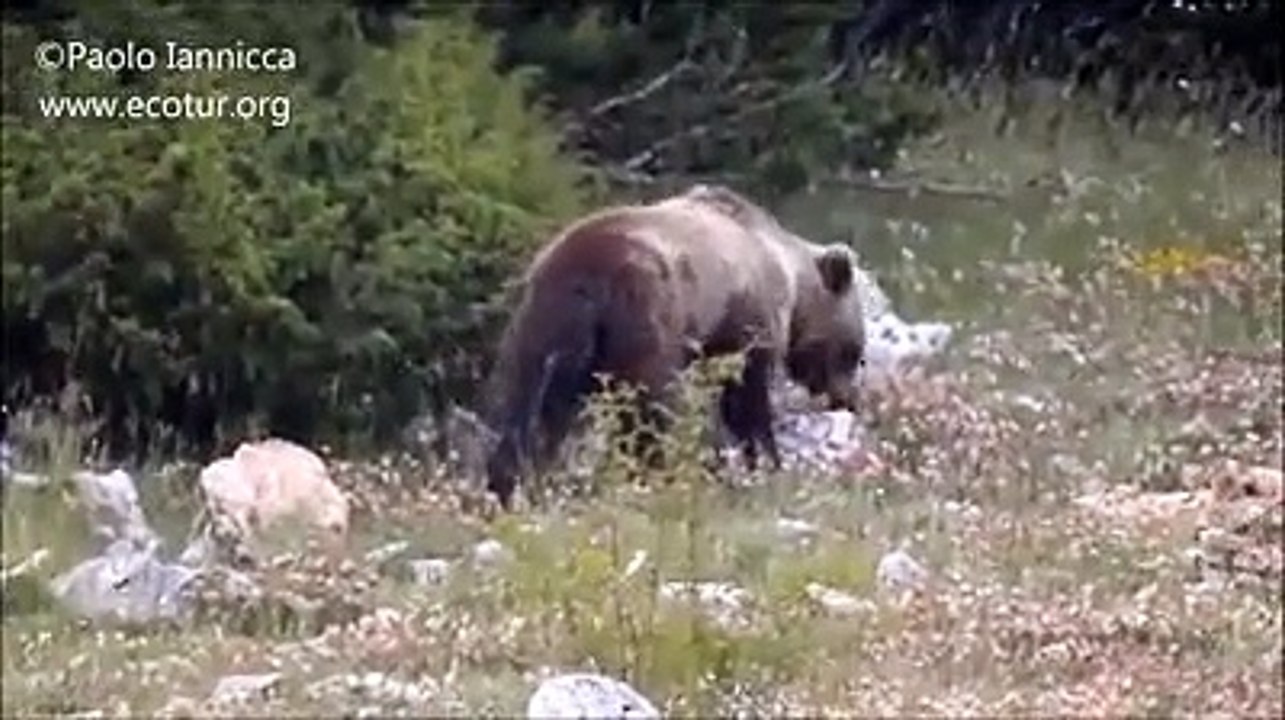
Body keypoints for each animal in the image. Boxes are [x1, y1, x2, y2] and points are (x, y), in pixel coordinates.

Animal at [482, 183, 866, 508]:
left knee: (526, 407)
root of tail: (585, 279)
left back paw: (511, 487)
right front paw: (766, 461)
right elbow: (746, 396)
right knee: (650, 404)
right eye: (855, 351)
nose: (847, 399)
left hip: (541, 326)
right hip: (645, 314)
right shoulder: (746, 318)